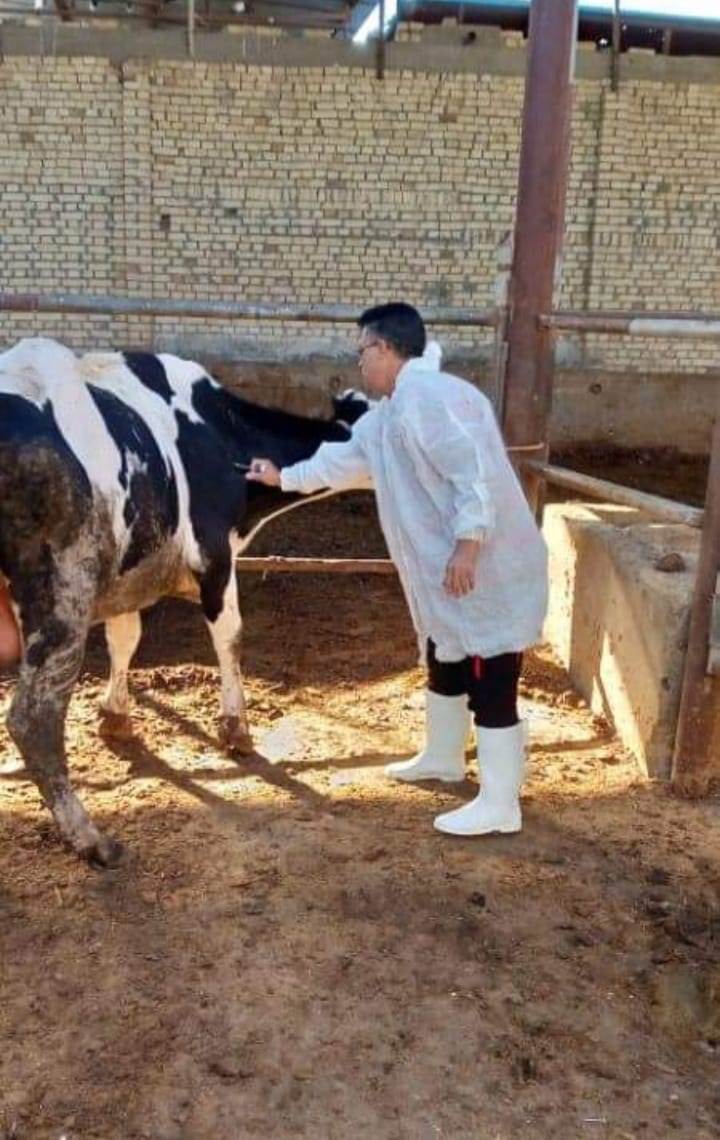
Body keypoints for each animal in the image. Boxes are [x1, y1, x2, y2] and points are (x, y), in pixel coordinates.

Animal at [0, 337, 356, 867]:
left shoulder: (130, 569)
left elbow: (126, 638)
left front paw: (115, 718)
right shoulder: (213, 554)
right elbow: (229, 637)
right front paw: (236, 729)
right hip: (62, 589)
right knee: (33, 719)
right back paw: (90, 839)